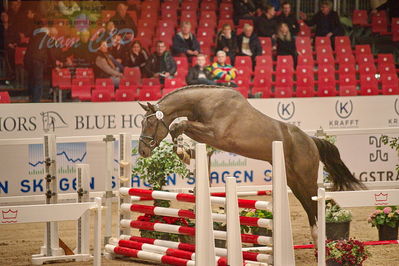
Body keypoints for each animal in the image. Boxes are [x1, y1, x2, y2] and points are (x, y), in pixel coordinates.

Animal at [139, 85, 364, 243]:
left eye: (150, 122)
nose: (142, 151)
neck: (206, 102)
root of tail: (311, 140)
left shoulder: (214, 134)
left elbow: (178, 125)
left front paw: (182, 152)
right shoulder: (206, 135)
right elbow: (180, 127)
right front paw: (185, 152)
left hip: (305, 179)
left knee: (316, 203)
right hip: (293, 181)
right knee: (310, 206)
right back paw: (318, 241)